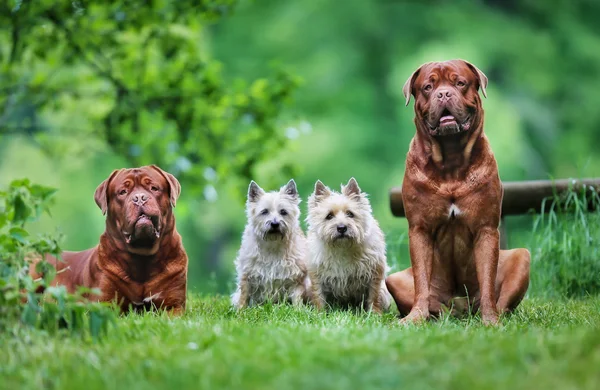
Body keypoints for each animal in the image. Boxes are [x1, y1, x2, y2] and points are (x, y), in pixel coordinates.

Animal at [32, 165, 188, 314]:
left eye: (154, 188)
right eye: (123, 192)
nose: (139, 198)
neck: (142, 258)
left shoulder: (174, 306)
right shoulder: (103, 304)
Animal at [384, 59, 528, 324]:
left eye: (460, 83)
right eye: (428, 87)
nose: (443, 93)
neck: (450, 160)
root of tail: (460, 307)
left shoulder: (486, 228)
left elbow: (487, 278)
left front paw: (490, 321)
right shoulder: (419, 229)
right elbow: (421, 280)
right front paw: (415, 318)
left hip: (521, 257)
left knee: (502, 301)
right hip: (395, 278)